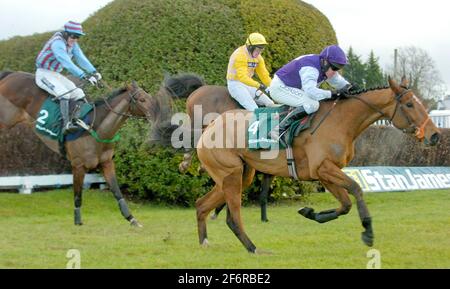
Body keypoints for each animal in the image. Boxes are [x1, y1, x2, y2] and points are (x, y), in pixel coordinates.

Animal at [0, 71, 164, 226]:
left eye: (149, 96)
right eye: (142, 99)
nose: (158, 114)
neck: (95, 127)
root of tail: (10, 74)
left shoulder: (106, 162)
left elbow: (117, 191)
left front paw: (132, 219)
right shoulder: (78, 165)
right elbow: (78, 195)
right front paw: (78, 221)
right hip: (5, 121)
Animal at [195, 76, 442, 252]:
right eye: (409, 104)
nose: (435, 135)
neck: (341, 121)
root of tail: (210, 126)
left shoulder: (325, 173)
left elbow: (345, 204)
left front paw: (310, 212)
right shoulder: (324, 168)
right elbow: (356, 188)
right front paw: (368, 231)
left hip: (239, 176)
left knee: (201, 204)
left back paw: (205, 242)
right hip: (231, 175)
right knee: (233, 217)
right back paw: (253, 248)